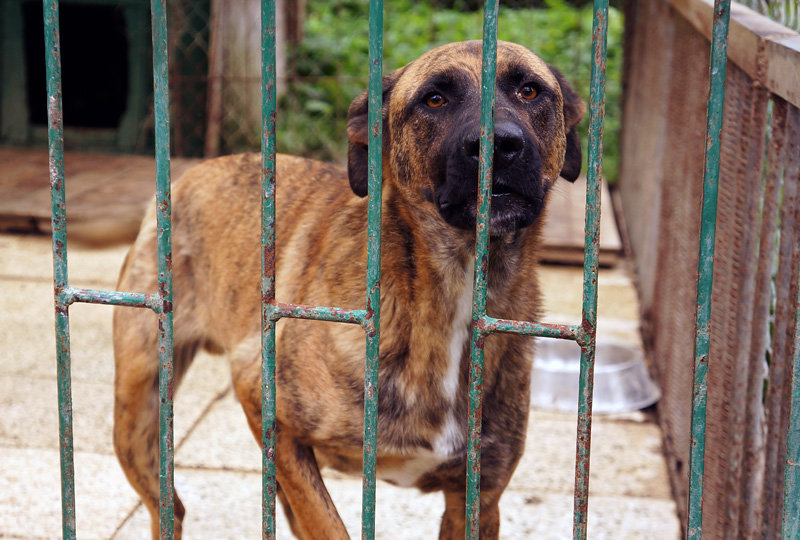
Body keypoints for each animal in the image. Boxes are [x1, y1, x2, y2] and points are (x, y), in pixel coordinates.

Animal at [112, 40, 584, 536]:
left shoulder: (478, 497)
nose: (501, 145)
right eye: (435, 99)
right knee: (171, 506)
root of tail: (187, 176)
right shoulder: (263, 400)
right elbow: (325, 522)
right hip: (138, 409)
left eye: (529, 90)